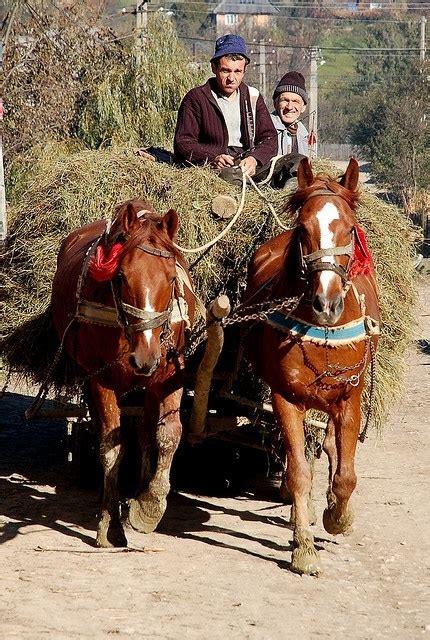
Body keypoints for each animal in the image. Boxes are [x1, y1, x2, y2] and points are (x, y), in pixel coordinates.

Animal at [50, 199, 195, 544]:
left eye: (171, 277)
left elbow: (168, 434)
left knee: (145, 430)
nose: (144, 358)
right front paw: (110, 522)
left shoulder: (170, 373)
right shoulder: (100, 379)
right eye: (123, 276)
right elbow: (112, 446)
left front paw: (150, 505)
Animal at [244, 159, 378, 576]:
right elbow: (299, 472)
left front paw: (338, 516)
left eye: (349, 228)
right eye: (304, 229)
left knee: (334, 451)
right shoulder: (286, 399)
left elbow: (346, 474)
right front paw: (303, 548)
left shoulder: (348, 400)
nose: (326, 302)